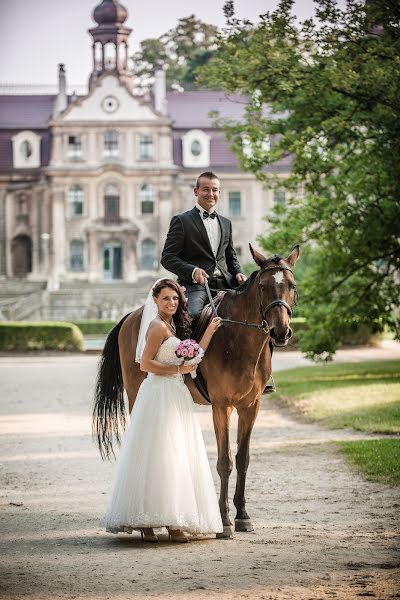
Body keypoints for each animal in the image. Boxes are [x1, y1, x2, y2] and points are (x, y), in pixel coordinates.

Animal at [94, 244, 298, 540]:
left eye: (292, 286)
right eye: (263, 286)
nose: (280, 332)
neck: (237, 338)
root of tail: (133, 315)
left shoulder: (251, 406)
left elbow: (243, 459)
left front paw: (242, 516)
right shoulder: (222, 405)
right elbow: (225, 461)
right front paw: (224, 521)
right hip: (135, 391)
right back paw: (146, 527)